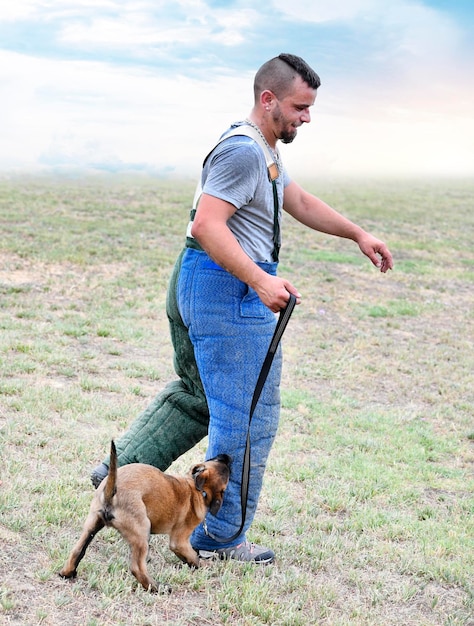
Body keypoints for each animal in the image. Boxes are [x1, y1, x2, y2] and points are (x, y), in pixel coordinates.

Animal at [59, 438, 231, 588]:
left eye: (216, 459)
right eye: (226, 469)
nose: (227, 456)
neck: (196, 488)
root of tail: (111, 492)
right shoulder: (180, 541)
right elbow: (192, 556)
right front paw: (202, 565)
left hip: (92, 524)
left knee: (77, 550)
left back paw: (67, 573)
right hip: (142, 530)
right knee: (137, 567)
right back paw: (156, 587)